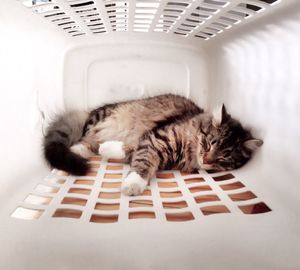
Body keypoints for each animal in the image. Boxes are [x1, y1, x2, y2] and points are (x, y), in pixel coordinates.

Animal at [42, 94, 262, 195]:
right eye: (209, 143)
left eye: (223, 158)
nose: (206, 160)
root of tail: (88, 112)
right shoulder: (155, 139)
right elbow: (142, 162)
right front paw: (133, 185)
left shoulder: (153, 147)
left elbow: (131, 153)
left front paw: (109, 149)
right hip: (99, 119)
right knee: (85, 138)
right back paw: (74, 150)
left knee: (91, 142)